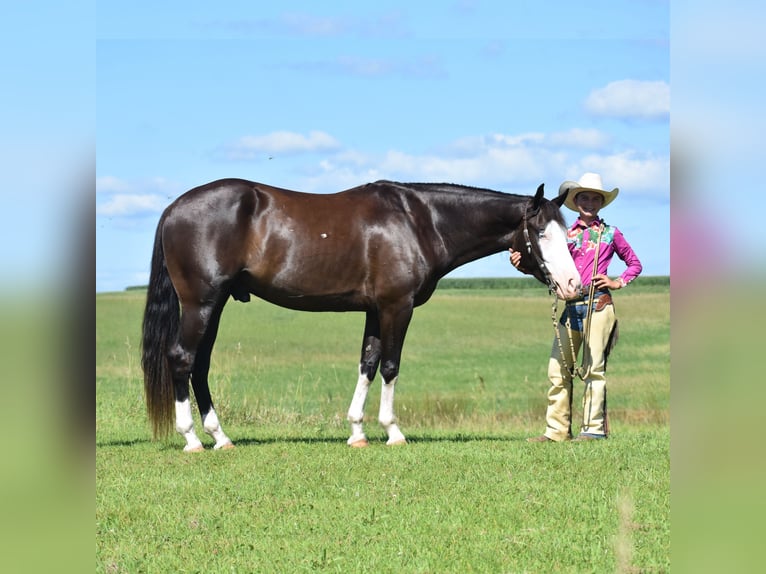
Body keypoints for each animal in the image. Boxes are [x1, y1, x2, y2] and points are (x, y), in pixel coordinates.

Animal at [141, 178, 581, 451]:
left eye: (567, 232)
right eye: (542, 233)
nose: (573, 284)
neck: (419, 221)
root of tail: (173, 207)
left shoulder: (374, 309)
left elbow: (367, 364)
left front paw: (356, 432)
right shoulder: (396, 306)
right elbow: (390, 366)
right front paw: (393, 431)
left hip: (214, 306)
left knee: (199, 365)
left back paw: (220, 437)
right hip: (201, 303)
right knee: (182, 359)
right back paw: (192, 439)